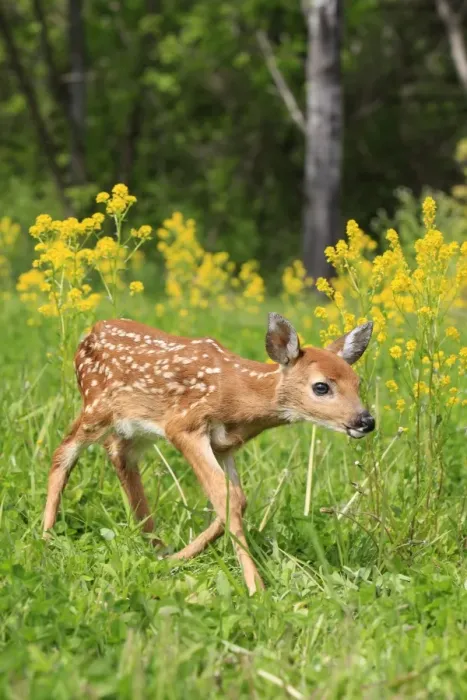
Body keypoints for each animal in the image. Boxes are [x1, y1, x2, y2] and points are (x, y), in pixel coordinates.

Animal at [43, 313, 375, 594]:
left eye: (358, 382)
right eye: (321, 387)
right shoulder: (184, 425)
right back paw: (46, 535)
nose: (366, 421)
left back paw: (155, 546)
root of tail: (88, 333)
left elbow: (236, 498)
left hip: (133, 428)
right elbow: (225, 495)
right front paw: (256, 588)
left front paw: (178, 557)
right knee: (64, 450)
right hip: (96, 405)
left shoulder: (225, 446)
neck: (238, 397)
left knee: (119, 456)